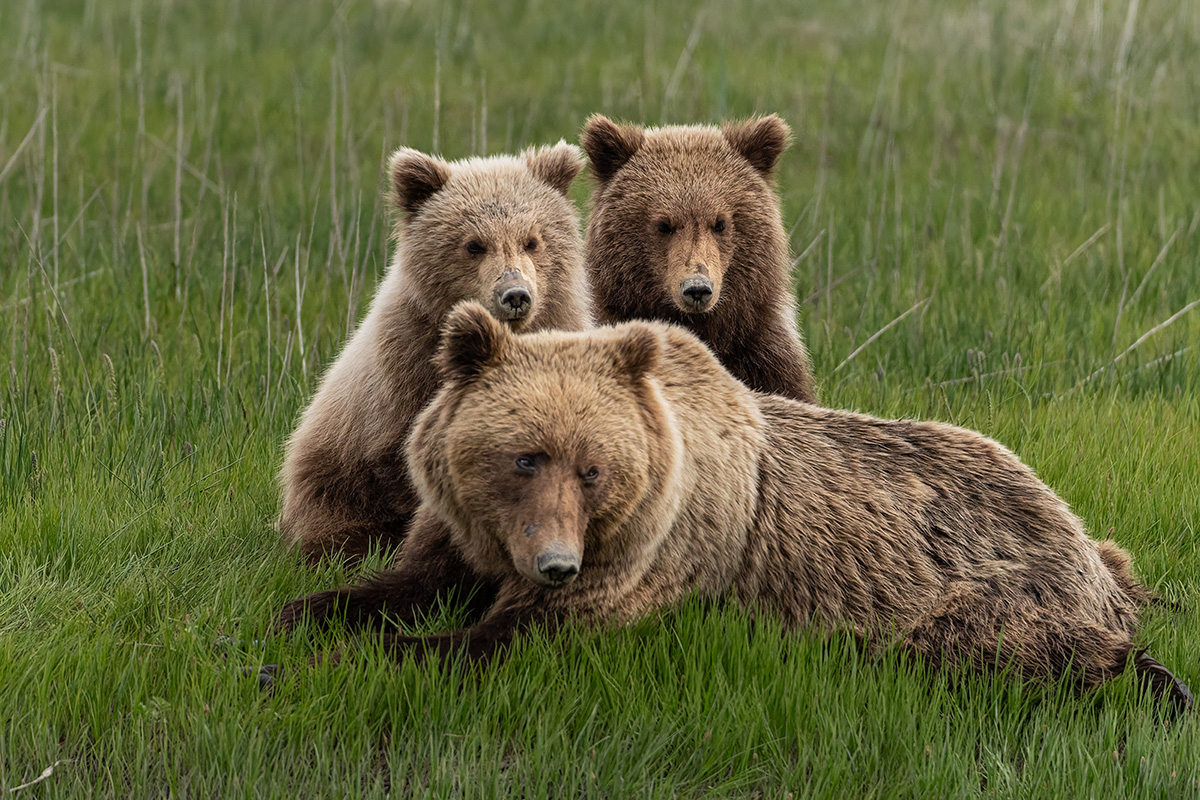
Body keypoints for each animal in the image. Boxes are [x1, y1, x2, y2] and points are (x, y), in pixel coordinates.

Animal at [272, 302, 1193, 713]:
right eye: (523, 456)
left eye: (595, 468)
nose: (555, 564)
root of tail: (1072, 521)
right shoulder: (460, 528)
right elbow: (401, 583)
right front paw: (305, 618)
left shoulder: (653, 551)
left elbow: (516, 633)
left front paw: (347, 661)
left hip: (987, 580)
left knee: (999, 646)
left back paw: (1156, 679)